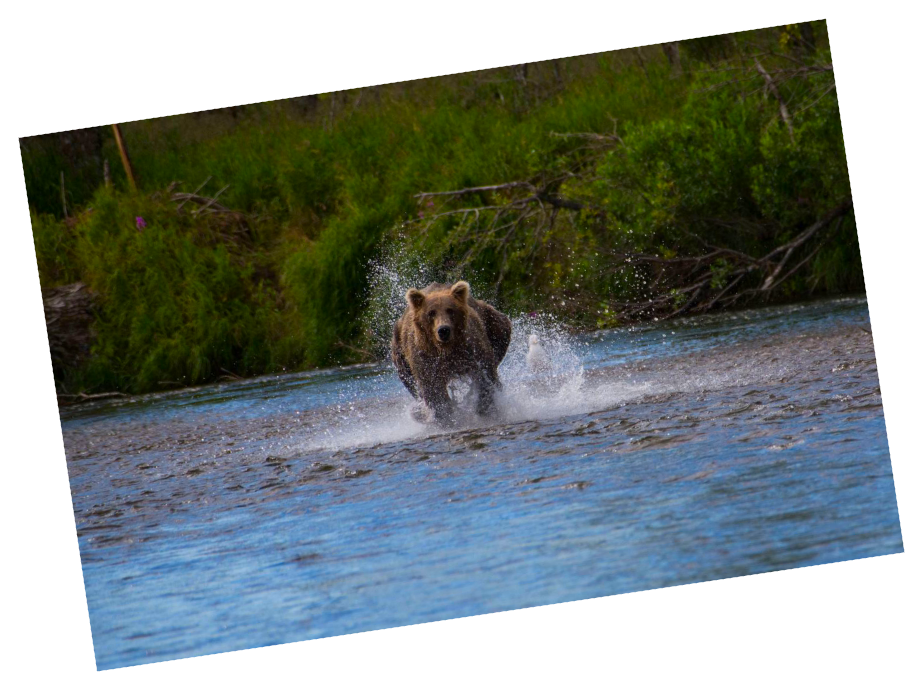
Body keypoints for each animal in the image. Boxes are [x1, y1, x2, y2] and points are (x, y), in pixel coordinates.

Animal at [392, 280, 512, 424]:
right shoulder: (425, 357)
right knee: (411, 382)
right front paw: (446, 417)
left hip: (491, 321)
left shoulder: (471, 349)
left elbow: (485, 375)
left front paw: (484, 409)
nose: (443, 330)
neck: (447, 349)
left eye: (450, 310)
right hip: (399, 352)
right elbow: (433, 388)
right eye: (431, 313)